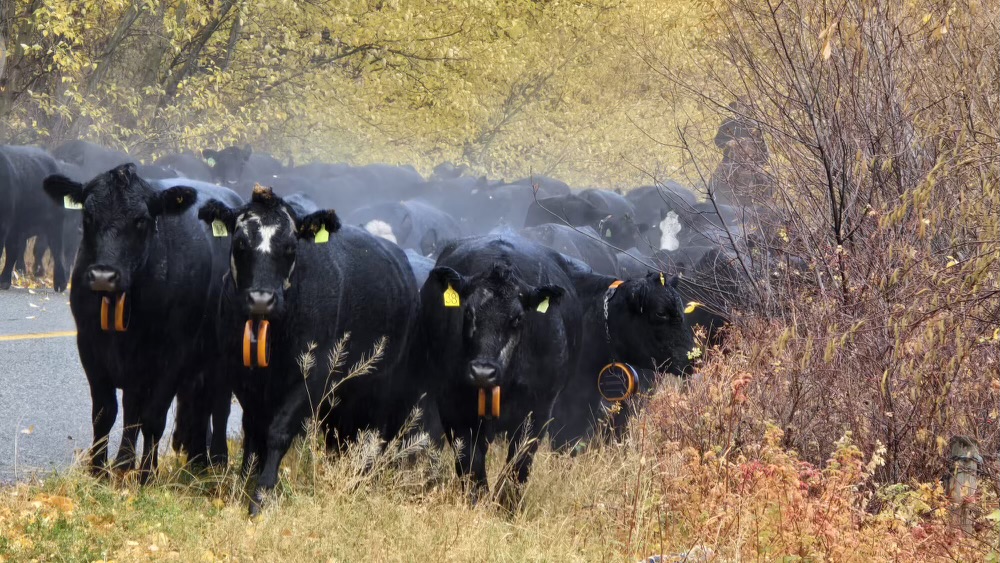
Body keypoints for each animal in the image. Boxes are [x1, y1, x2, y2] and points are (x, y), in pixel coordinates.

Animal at [199, 186, 422, 516]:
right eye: (240, 243)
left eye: (291, 247)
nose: (261, 299)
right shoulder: (242, 377)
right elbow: (253, 430)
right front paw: (245, 482)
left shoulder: (311, 378)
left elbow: (278, 431)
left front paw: (262, 496)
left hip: (382, 385)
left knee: (373, 433)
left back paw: (362, 479)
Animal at [418, 236, 584, 508]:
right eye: (468, 312)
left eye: (517, 318)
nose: (482, 371)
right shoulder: (452, 405)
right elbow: (470, 461)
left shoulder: (538, 410)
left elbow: (519, 463)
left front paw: (507, 505)